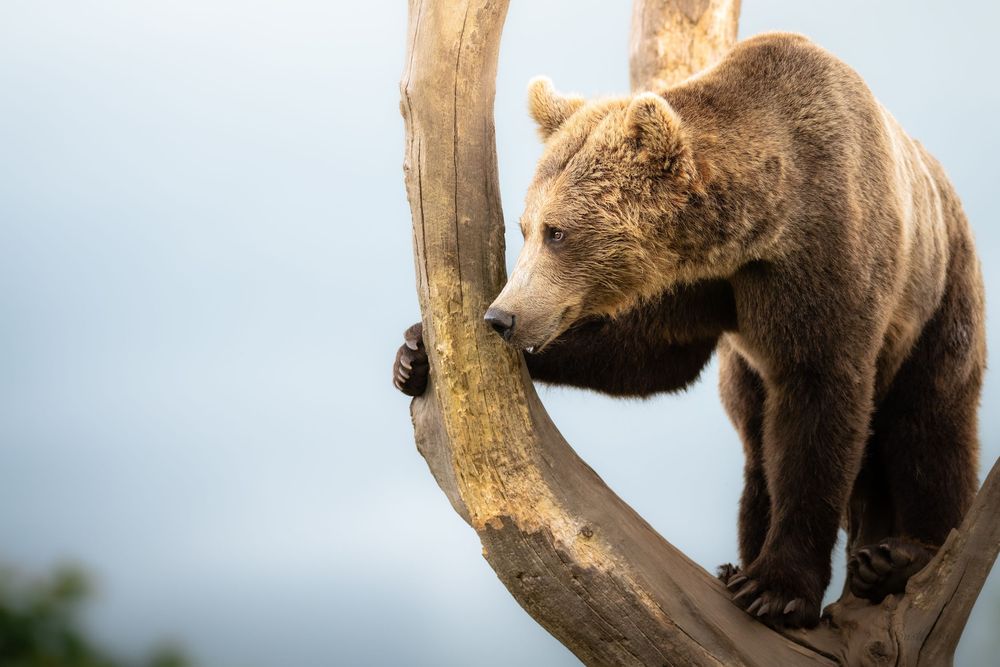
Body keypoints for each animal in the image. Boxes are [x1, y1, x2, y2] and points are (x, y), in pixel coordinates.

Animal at [392, 32, 985, 629]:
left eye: (557, 232)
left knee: (929, 424)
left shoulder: (829, 259)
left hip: (939, 298)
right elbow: (653, 352)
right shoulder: (705, 282)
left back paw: (899, 557)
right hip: (750, 372)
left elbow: (820, 402)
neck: (763, 224)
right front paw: (414, 353)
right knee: (757, 445)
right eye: (525, 227)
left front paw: (778, 588)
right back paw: (743, 563)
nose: (501, 316)